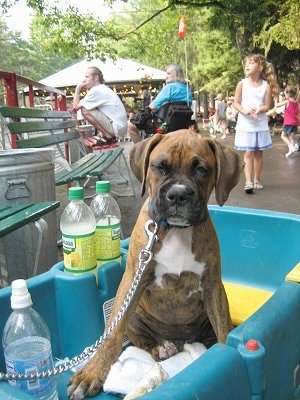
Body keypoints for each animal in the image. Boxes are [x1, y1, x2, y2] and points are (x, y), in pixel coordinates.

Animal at [67, 130, 244, 398]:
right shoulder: (133, 280)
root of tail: (181, 341)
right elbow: (113, 335)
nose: (178, 194)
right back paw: (162, 348)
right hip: (134, 314)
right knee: (142, 342)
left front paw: (223, 352)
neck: (176, 231)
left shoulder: (213, 287)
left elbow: (223, 327)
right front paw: (93, 372)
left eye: (201, 170)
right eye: (160, 167)